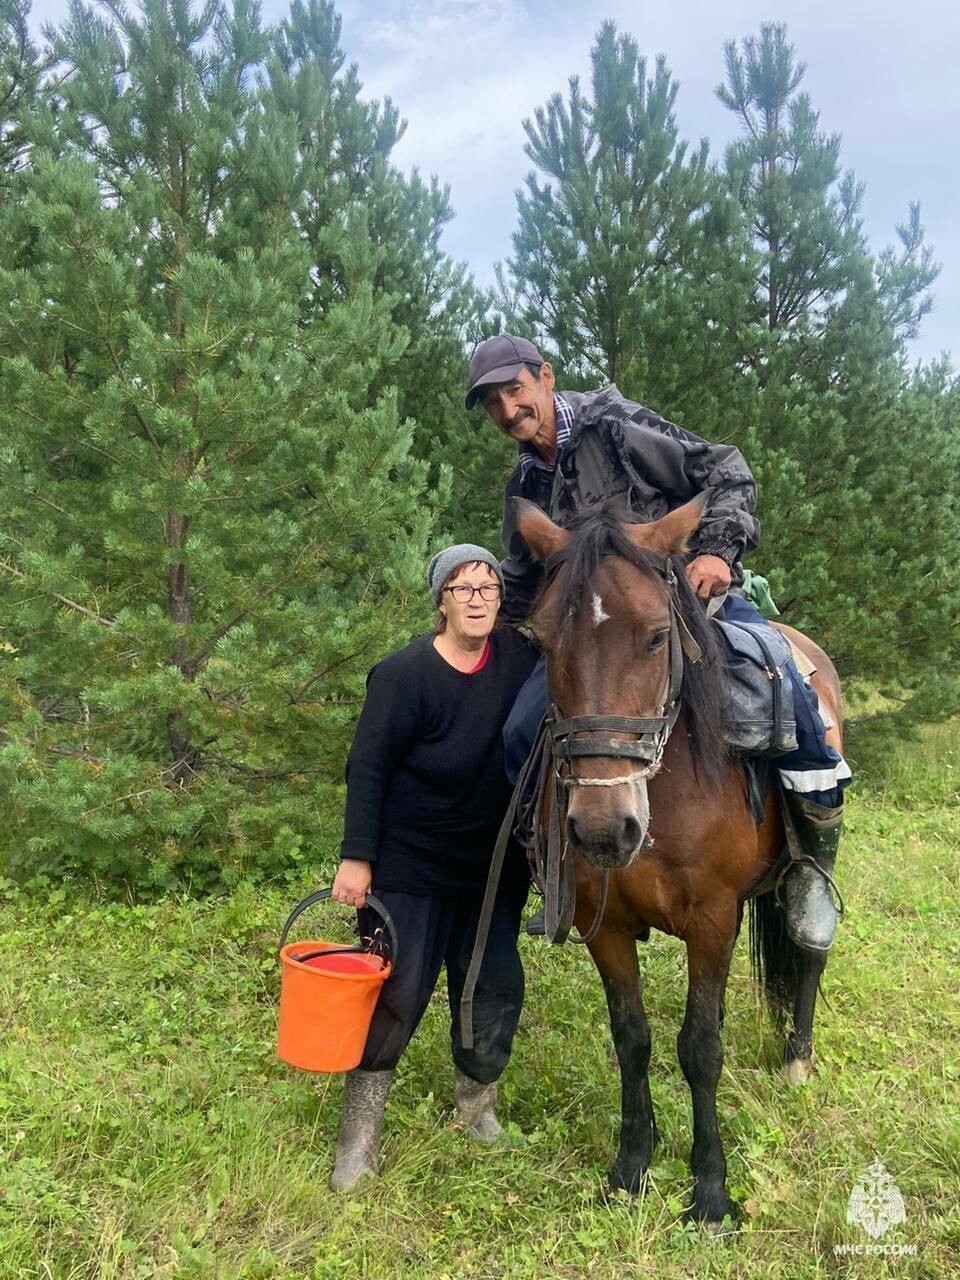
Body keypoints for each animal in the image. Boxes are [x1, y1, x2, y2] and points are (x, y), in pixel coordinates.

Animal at [514, 494, 844, 1223]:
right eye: (543, 643)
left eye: (656, 636)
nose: (603, 830)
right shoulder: (603, 926)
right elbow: (632, 1038)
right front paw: (630, 1167)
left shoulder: (713, 918)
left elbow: (699, 1049)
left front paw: (711, 1191)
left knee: (808, 944)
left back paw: (798, 1056)